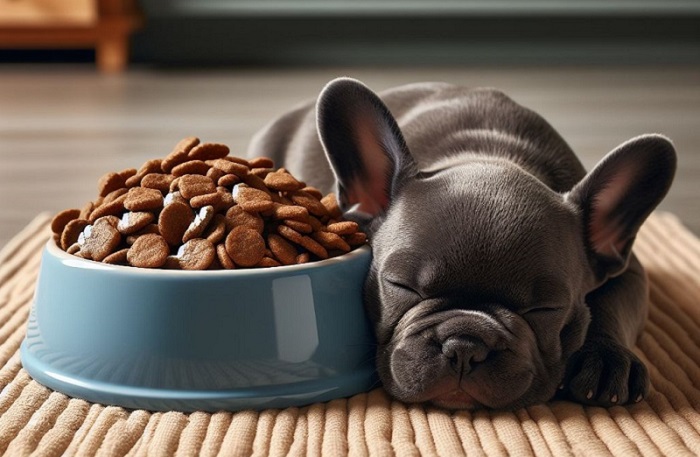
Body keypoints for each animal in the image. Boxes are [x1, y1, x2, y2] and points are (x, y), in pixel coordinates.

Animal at [247, 78, 680, 410]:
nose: (465, 345)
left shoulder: (630, 270)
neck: (492, 154)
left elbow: (612, 305)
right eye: (401, 286)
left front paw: (608, 360)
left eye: (546, 309)